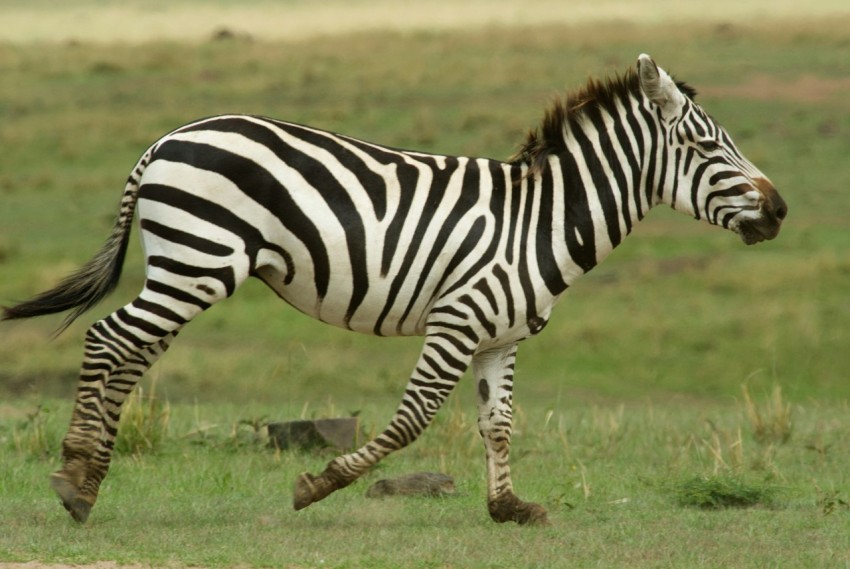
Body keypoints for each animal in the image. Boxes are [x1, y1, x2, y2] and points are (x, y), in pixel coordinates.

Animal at [1, 53, 780, 524]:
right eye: (709, 148)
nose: (780, 210)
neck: (541, 220)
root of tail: (164, 140)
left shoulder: (501, 335)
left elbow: (498, 422)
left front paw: (508, 507)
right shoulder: (457, 320)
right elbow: (412, 419)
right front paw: (317, 484)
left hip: (186, 264)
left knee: (130, 349)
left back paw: (87, 479)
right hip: (200, 260)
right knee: (110, 338)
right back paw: (74, 479)